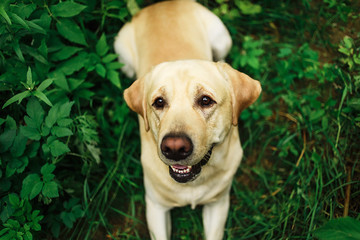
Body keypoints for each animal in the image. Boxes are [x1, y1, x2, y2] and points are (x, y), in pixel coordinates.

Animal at [114, 0, 260, 239]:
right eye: (159, 102)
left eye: (206, 100)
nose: (174, 148)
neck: (192, 184)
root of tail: (160, 4)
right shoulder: (155, 207)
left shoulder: (218, 204)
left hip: (222, 40)